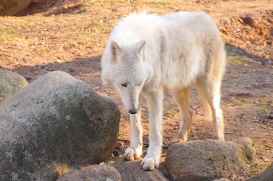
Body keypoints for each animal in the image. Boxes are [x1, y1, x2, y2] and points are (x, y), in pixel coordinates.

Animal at [100, 11, 225, 171]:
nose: (133, 110)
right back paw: (179, 139)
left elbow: (154, 131)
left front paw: (152, 158)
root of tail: (206, 16)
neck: (131, 35)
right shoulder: (136, 98)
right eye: (123, 84)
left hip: (207, 86)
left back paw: (218, 141)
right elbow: (136, 125)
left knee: (218, 112)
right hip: (177, 91)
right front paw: (135, 149)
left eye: (138, 83)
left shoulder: (154, 93)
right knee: (189, 113)